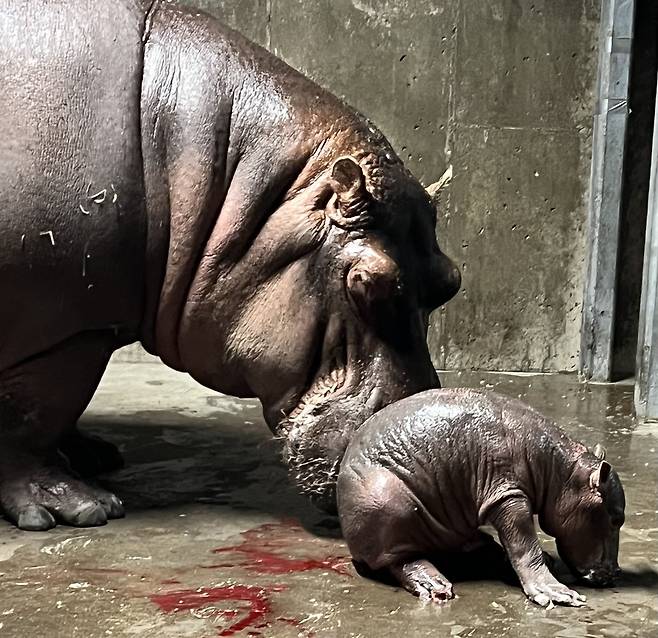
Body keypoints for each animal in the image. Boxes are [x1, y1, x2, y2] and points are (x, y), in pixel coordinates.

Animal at [0, 0, 458, 536]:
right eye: (367, 282)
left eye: (451, 280)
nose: (430, 456)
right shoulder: (68, 327)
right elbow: (32, 415)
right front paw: (76, 509)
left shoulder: (91, 322)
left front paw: (91, 454)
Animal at [338, 390, 624, 608]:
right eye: (615, 519)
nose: (616, 572)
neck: (562, 472)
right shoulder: (507, 497)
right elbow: (524, 545)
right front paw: (557, 593)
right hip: (389, 504)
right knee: (401, 560)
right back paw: (436, 587)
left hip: (451, 526)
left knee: (474, 544)